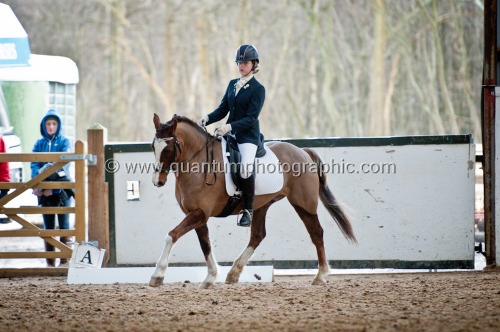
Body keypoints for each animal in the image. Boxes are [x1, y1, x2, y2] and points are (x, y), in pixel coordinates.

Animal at [148, 114, 356, 288]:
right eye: (153, 146)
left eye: (168, 148)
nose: (157, 181)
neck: (198, 162)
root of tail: (302, 151)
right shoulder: (197, 214)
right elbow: (205, 244)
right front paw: (210, 277)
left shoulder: (200, 213)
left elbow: (172, 235)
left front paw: (157, 275)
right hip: (261, 205)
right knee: (257, 235)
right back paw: (233, 273)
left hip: (304, 204)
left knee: (316, 233)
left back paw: (320, 276)